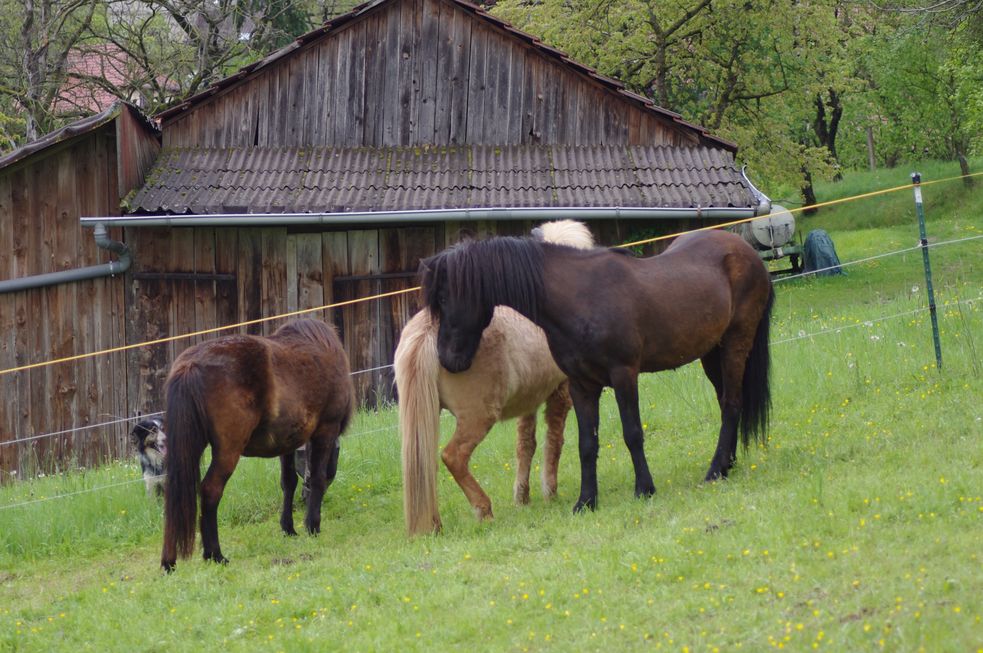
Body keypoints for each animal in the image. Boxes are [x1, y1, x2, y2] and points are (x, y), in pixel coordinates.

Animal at [158, 318, 350, 568]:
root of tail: (190, 365)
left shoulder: (288, 442)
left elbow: (288, 483)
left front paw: (289, 529)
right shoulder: (326, 430)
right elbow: (316, 478)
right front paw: (312, 527)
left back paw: (169, 562)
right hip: (228, 450)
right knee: (210, 490)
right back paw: (215, 554)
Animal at [396, 219, 596, 536]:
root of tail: (426, 334)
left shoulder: (529, 401)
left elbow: (526, 444)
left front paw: (522, 497)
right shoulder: (560, 395)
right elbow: (554, 441)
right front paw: (549, 492)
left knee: (425, 463)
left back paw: (435, 525)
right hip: (477, 417)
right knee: (452, 457)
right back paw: (484, 510)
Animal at [422, 229, 776, 516]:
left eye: (444, 298)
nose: (448, 359)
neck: (579, 298)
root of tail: (746, 250)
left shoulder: (623, 375)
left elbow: (632, 433)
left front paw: (644, 489)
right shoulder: (582, 385)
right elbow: (586, 444)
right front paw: (586, 501)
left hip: (736, 342)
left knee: (731, 404)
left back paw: (714, 471)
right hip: (711, 353)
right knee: (728, 401)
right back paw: (727, 465)